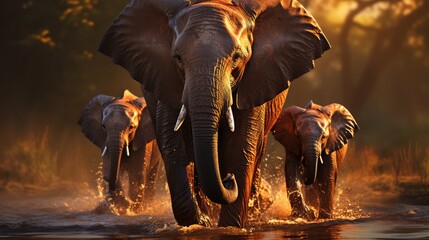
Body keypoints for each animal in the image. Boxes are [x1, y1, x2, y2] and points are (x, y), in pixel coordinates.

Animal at [98, 0, 330, 227]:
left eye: (237, 57)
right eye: (178, 58)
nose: (228, 179)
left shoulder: (255, 80)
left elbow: (240, 148)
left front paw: (228, 225)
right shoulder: (166, 80)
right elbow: (174, 145)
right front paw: (202, 221)